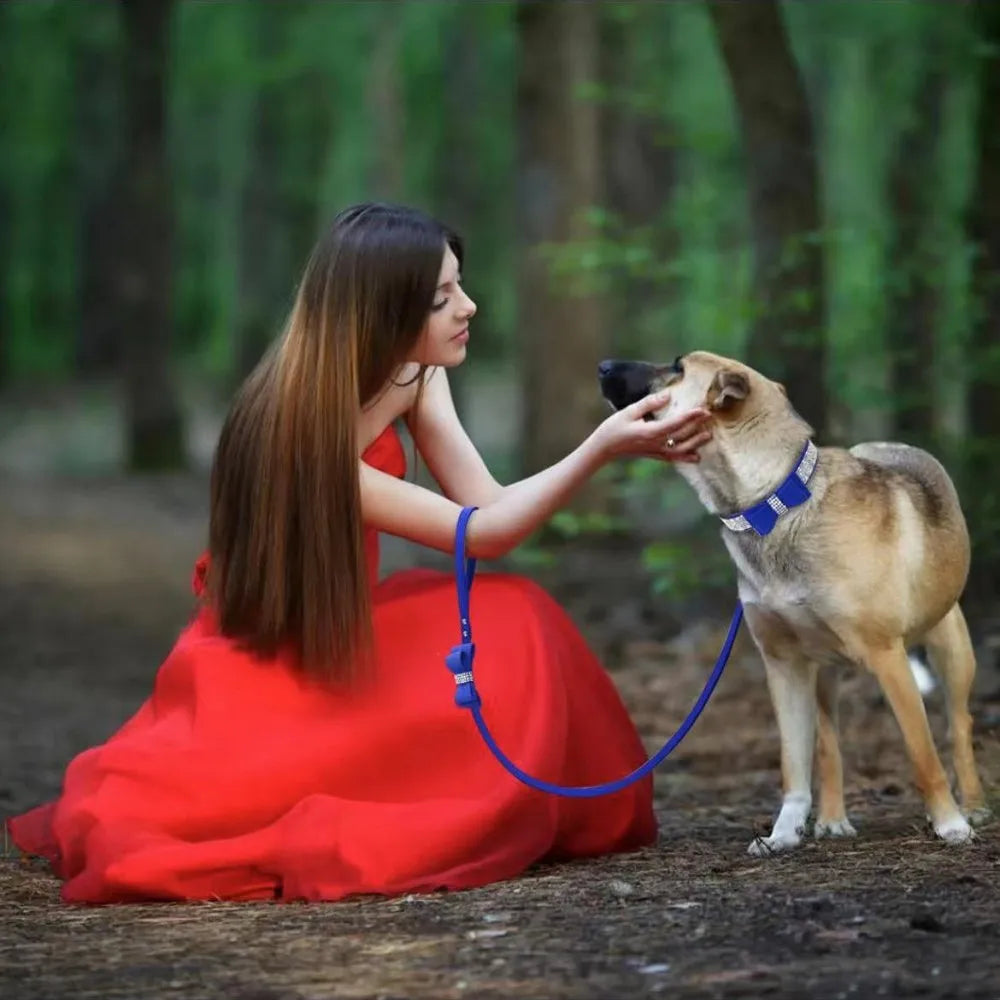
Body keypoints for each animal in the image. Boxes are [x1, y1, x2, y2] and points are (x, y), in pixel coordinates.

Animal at [596, 350, 988, 852]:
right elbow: (795, 763)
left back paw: (972, 807)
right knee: (829, 742)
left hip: (950, 646)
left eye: (678, 368)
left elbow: (923, 753)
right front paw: (783, 833)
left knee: (959, 726)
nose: (604, 366)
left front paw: (949, 822)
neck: (774, 504)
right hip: (823, 673)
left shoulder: (888, 656)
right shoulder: (783, 664)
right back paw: (833, 819)